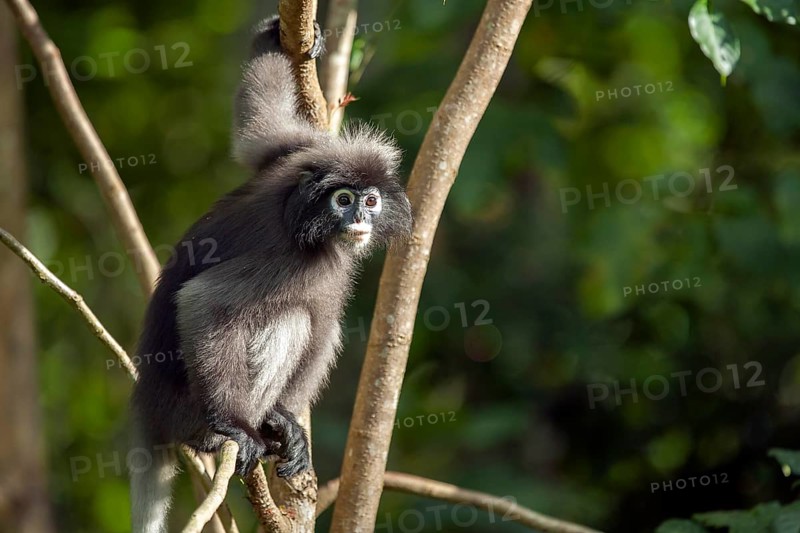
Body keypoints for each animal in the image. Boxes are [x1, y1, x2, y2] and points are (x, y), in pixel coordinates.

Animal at [128, 15, 412, 533]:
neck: (304, 215)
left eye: (370, 200)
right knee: (297, 316)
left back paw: (277, 421)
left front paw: (281, 34)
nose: (359, 219)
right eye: (344, 200)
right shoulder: (286, 257)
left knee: (325, 323)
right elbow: (204, 300)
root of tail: (148, 410)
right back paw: (226, 434)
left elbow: (258, 132)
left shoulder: (300, 151)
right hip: (183, 408)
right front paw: (239, 429)